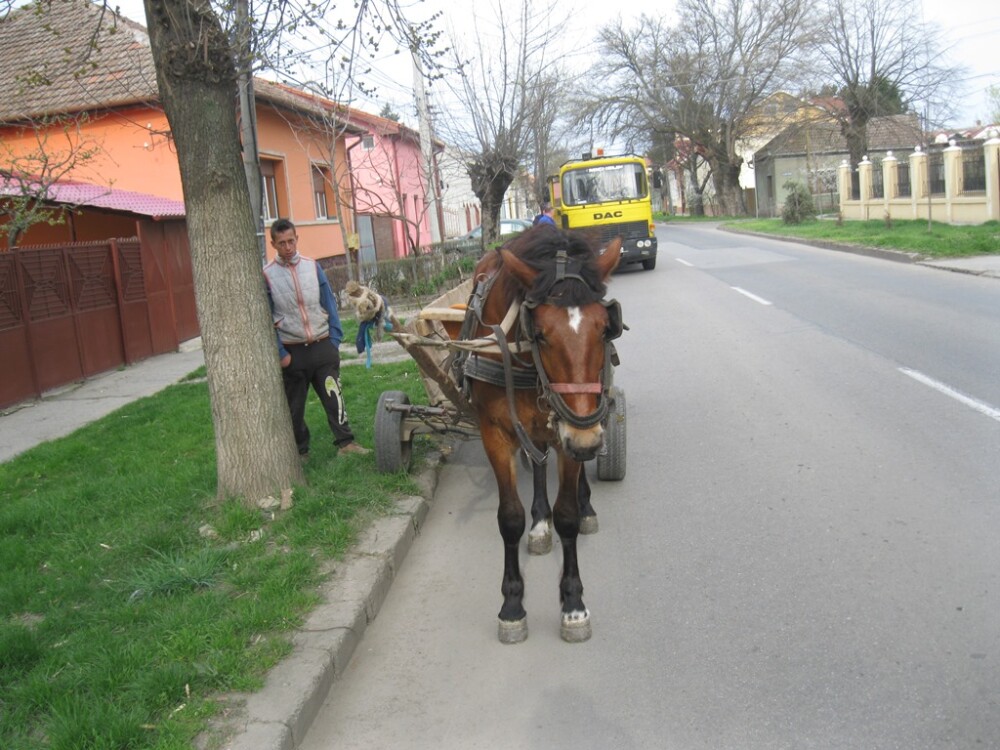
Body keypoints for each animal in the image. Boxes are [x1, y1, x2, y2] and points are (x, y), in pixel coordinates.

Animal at [458, 226, 616, 644]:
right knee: (539, 463)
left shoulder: (570, 430)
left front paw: (573, 605)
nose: (588, 443)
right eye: (541, 333)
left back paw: (584, 506)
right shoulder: (495, 433)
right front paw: (512, 605)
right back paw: (539, 522)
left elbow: (568, 516)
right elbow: (509, 518)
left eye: (604, 327)